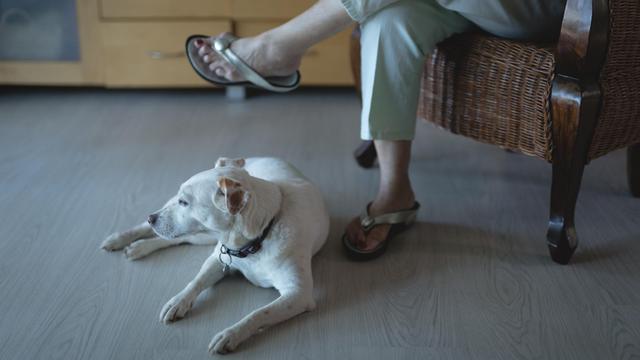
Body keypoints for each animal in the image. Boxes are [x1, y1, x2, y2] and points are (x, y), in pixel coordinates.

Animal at [101, 157, 330, 354]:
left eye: (184, 202)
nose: (151, 217)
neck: (256, 240)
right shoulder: (217, 259)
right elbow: (196, 282)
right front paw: (178, 301)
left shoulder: (298, 294)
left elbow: (258, 314)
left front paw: (230, 334)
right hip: (201, 236)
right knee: (162, 235)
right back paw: (121, 239)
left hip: (201, 236)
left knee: (176, 239)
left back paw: (138, 247)